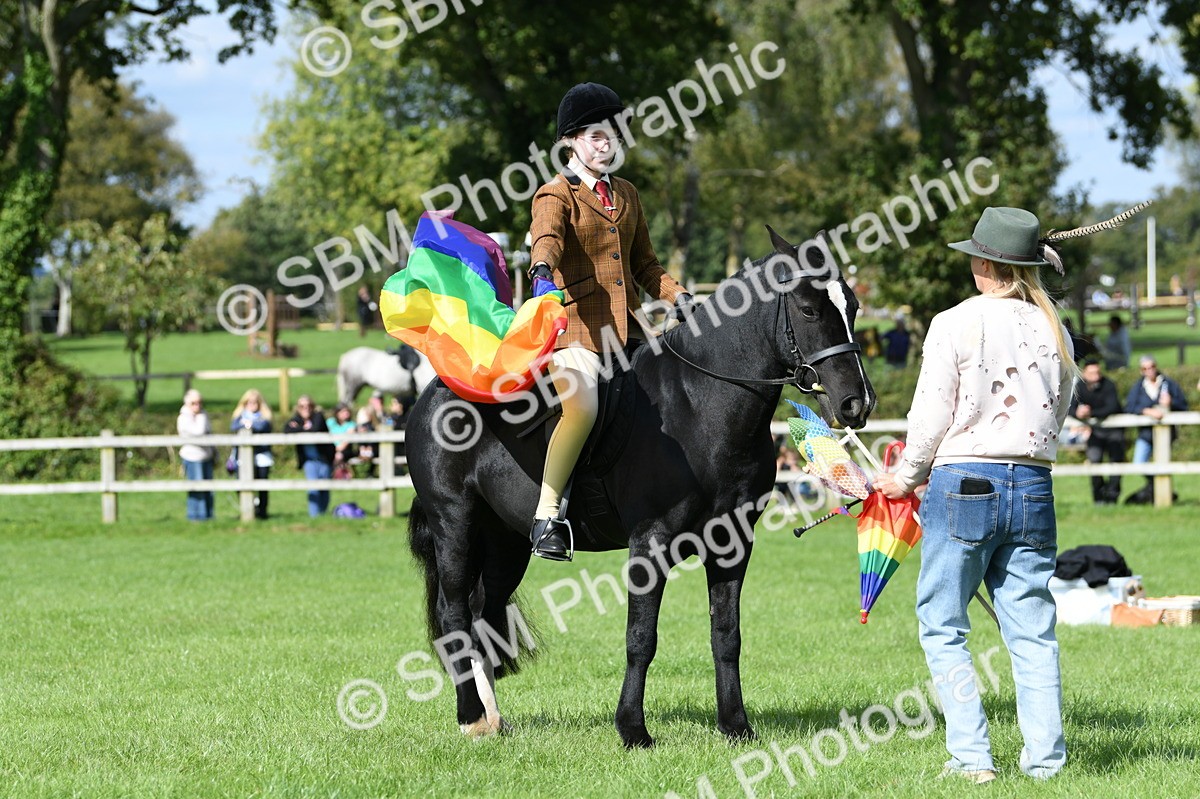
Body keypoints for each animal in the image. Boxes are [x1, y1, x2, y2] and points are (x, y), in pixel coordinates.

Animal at [404, 227, 875, 747]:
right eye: (809, 310)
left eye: (853, 306)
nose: (857, 403)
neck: (700, 403)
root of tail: (434, 392)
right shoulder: (650, 544)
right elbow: (641, 638)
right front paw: (633, 730)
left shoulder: (732, 544)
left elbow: (727, 635)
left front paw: (735, 725)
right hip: (456, 524)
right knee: (455, 616)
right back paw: (471, 717)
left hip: (504, 541)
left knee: (485, 616)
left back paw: (492, 721)